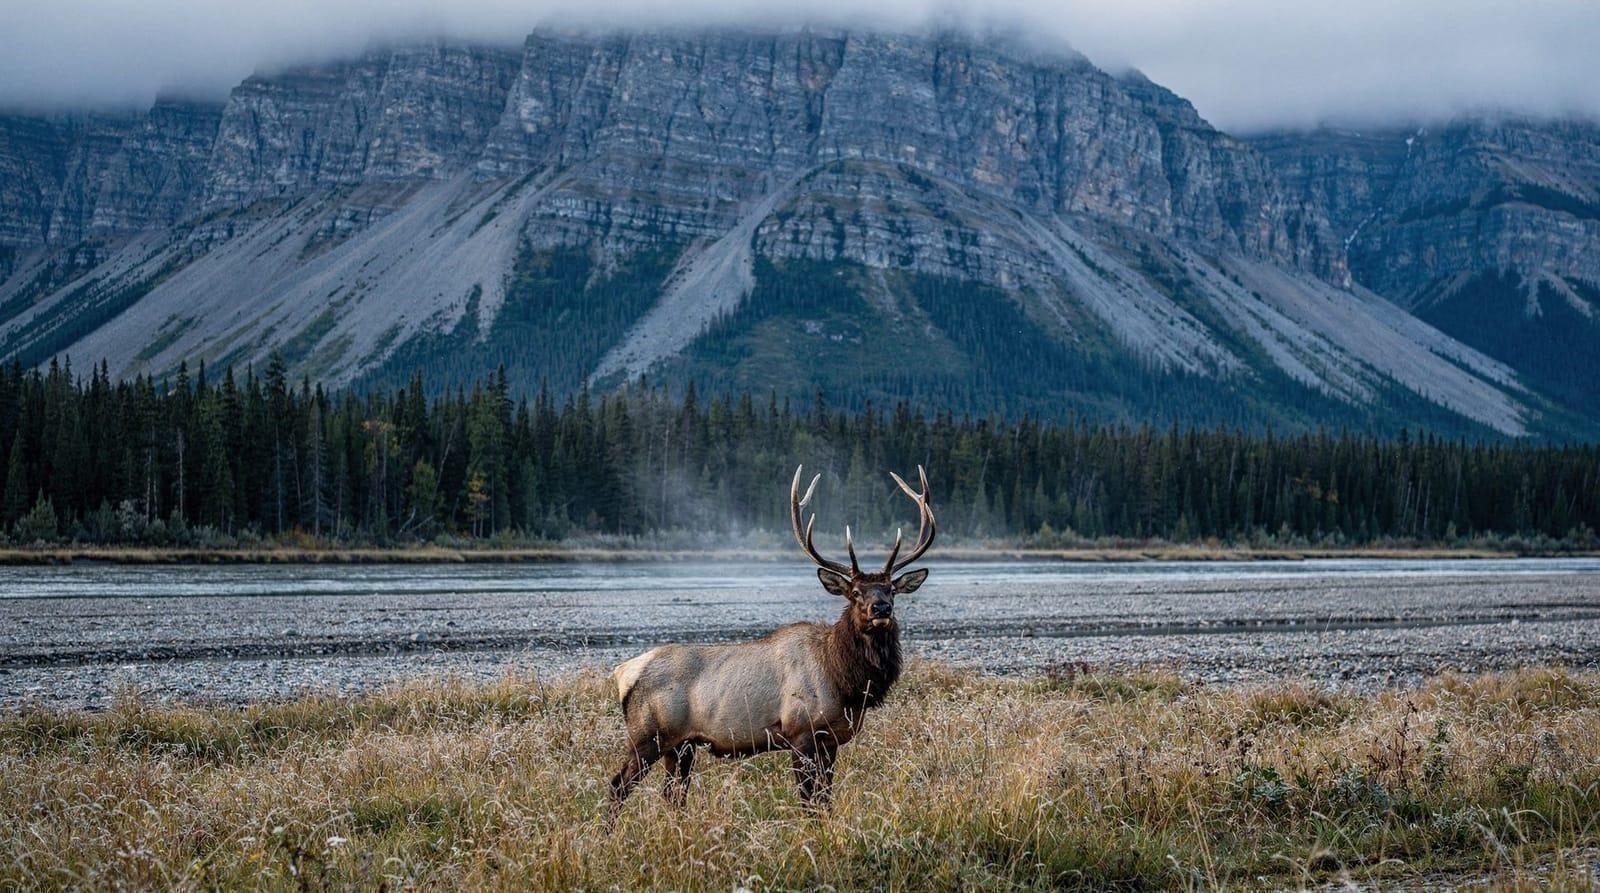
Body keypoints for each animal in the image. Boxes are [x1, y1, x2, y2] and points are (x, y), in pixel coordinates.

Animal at [606, 465, 936, 814]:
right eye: (856, 592)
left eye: (891, 590)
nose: (881, 608)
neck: (845, 682)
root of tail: (623, 673)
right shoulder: (800, 732)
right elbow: (808, 800)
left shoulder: (831, 739)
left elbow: (825, 799)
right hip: (647, 735)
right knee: (618, 786)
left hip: (681, 745)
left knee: (673, 794)